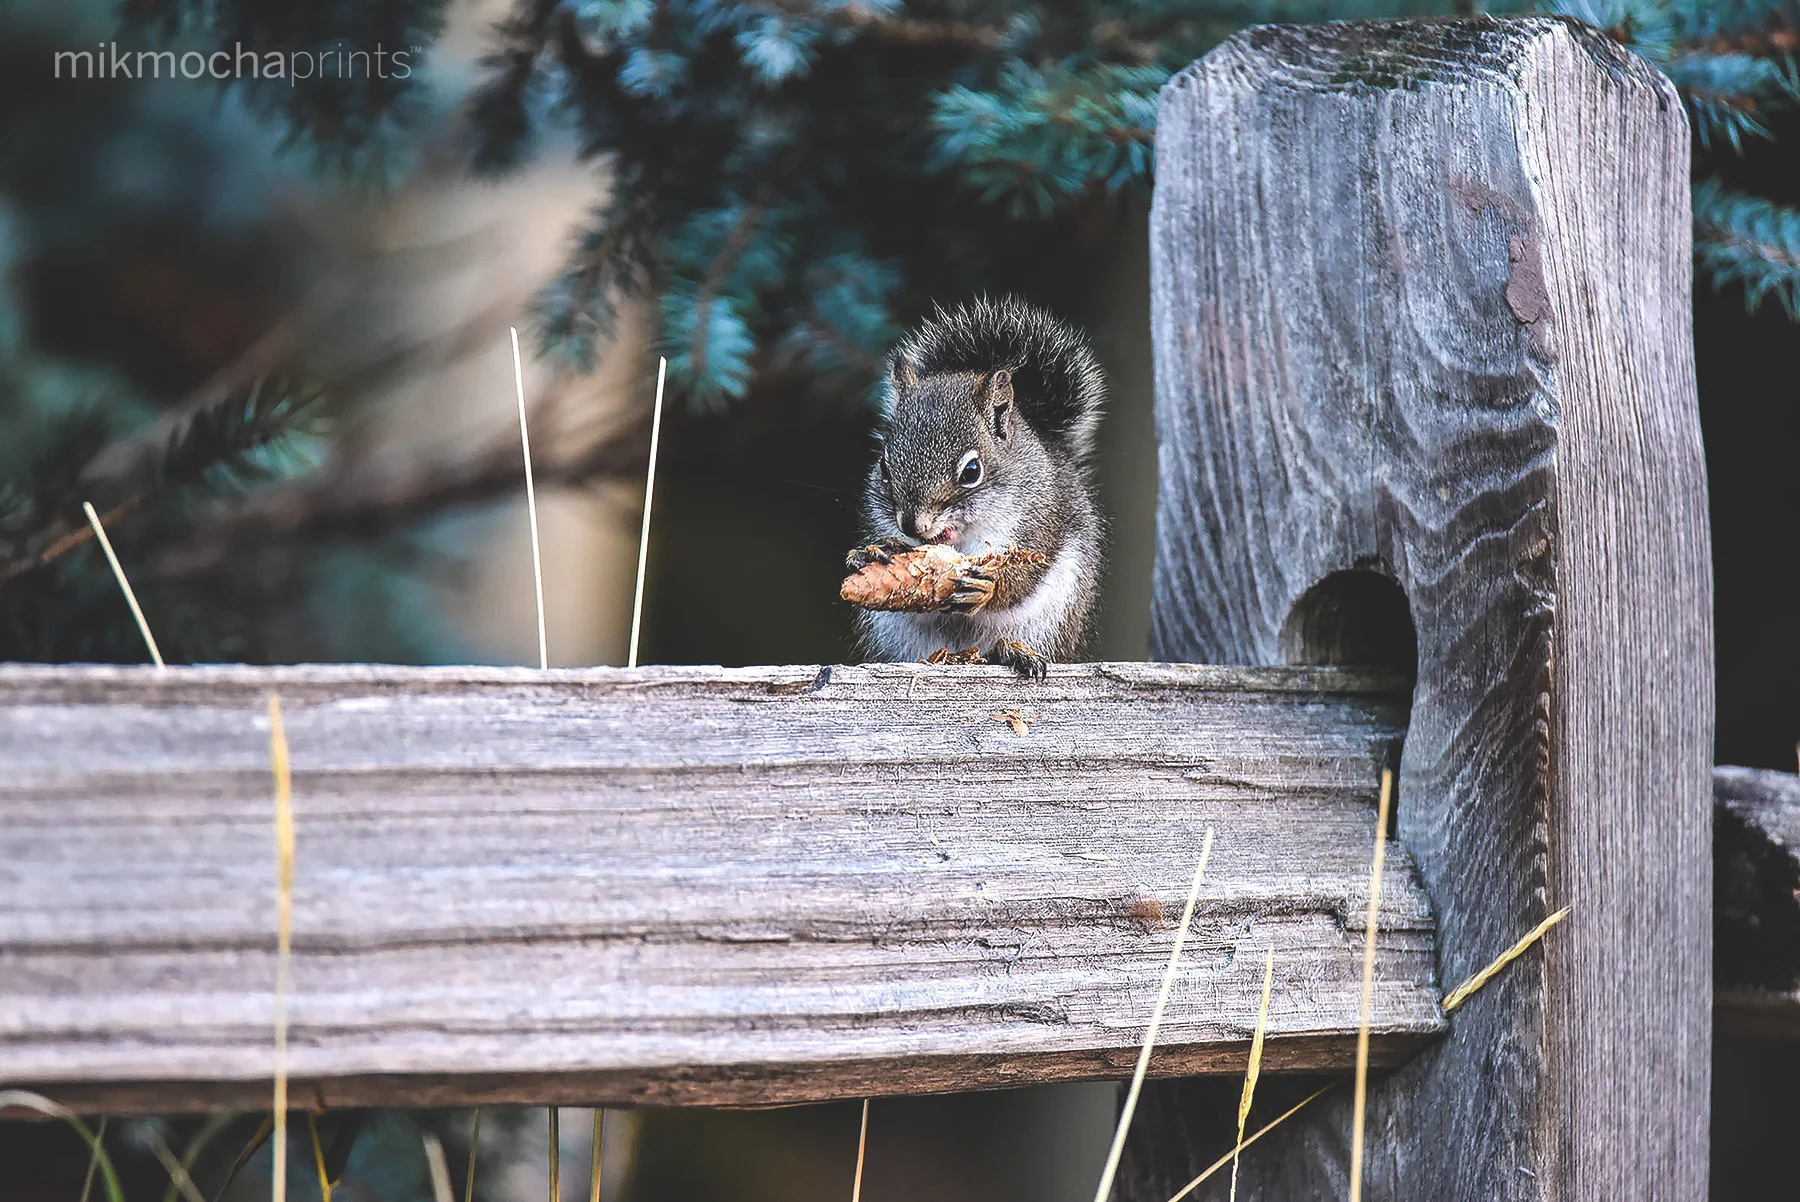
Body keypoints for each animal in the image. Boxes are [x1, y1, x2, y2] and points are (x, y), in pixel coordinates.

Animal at [849, 296, 1106, 678]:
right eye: (883, 466)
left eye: (972, 471)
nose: (912, 525)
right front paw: (868, 554)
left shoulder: (1040, 521)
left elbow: (1025, 575)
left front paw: (988, 588)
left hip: (1052, 619)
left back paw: (1015, 651)